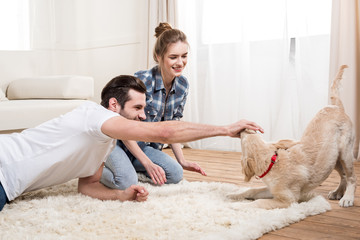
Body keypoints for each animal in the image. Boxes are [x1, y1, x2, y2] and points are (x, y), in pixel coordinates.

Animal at [228, 65, 358, 210]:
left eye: (244, 138)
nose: (243, 128)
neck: (272, 163)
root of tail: (336, 107)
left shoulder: (287, 199)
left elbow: (258, 202)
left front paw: (238, 206)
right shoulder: (272, 190)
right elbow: (252, 190)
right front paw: (234, 195)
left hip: (345, 153)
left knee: (352, 177)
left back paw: (347, 198)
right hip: (332, 159)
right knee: (344, 175)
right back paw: (338, 192)